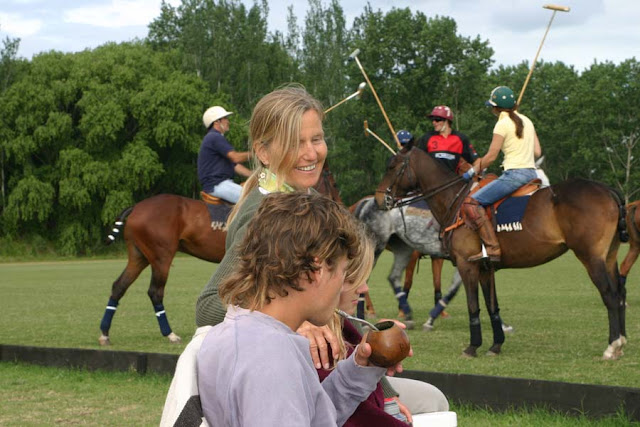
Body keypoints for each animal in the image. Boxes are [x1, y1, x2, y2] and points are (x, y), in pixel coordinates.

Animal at [97, 166, 342, 346]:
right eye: (333, 181)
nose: (339, 203)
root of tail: (135, 207)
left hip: (139, 255)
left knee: (119, 285)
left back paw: (105, 334)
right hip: (161, 256)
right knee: (155, 291)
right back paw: (170, 334)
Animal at [376, 149, 632, 360]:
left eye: (392, 166)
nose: (379, 199)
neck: (454, 200)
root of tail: (610, 191)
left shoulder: (467, 265)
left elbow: (473, 306)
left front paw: (472, 347)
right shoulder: (486, 268)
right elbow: (493, 307)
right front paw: (495, 345)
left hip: (591, 257)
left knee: (609, 294)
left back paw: (612, 346)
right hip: (609, 256)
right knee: (620, 292)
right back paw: (621, 344)